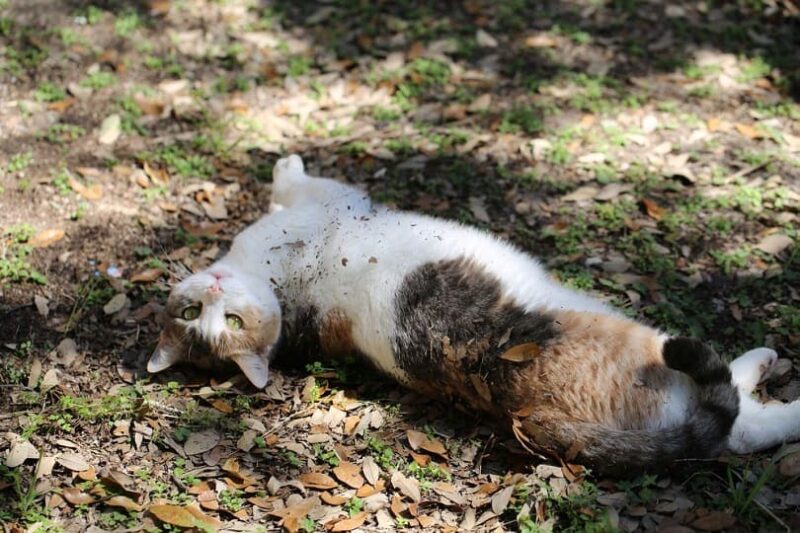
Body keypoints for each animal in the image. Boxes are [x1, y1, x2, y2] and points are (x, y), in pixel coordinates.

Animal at [147, 154, 796, 474]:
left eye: (210, 316)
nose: (215, 295)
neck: (280, 292)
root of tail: (527, 413)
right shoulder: (328, 199)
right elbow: (294, 178)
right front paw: (288, 158)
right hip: (652, 347)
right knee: (733, 421)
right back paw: (770, 376)